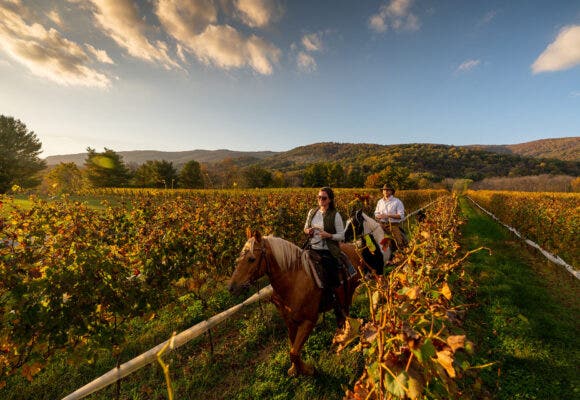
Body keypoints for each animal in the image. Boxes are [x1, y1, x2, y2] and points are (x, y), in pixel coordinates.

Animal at [228, 230, 360, 376]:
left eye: (251, 259)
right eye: (238, 259)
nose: (232, 288)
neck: (294, 281)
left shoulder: (308, 321)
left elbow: (294, 352)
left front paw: (308, 370)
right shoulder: (290, 322)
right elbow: (293, 348)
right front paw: (296, 369)